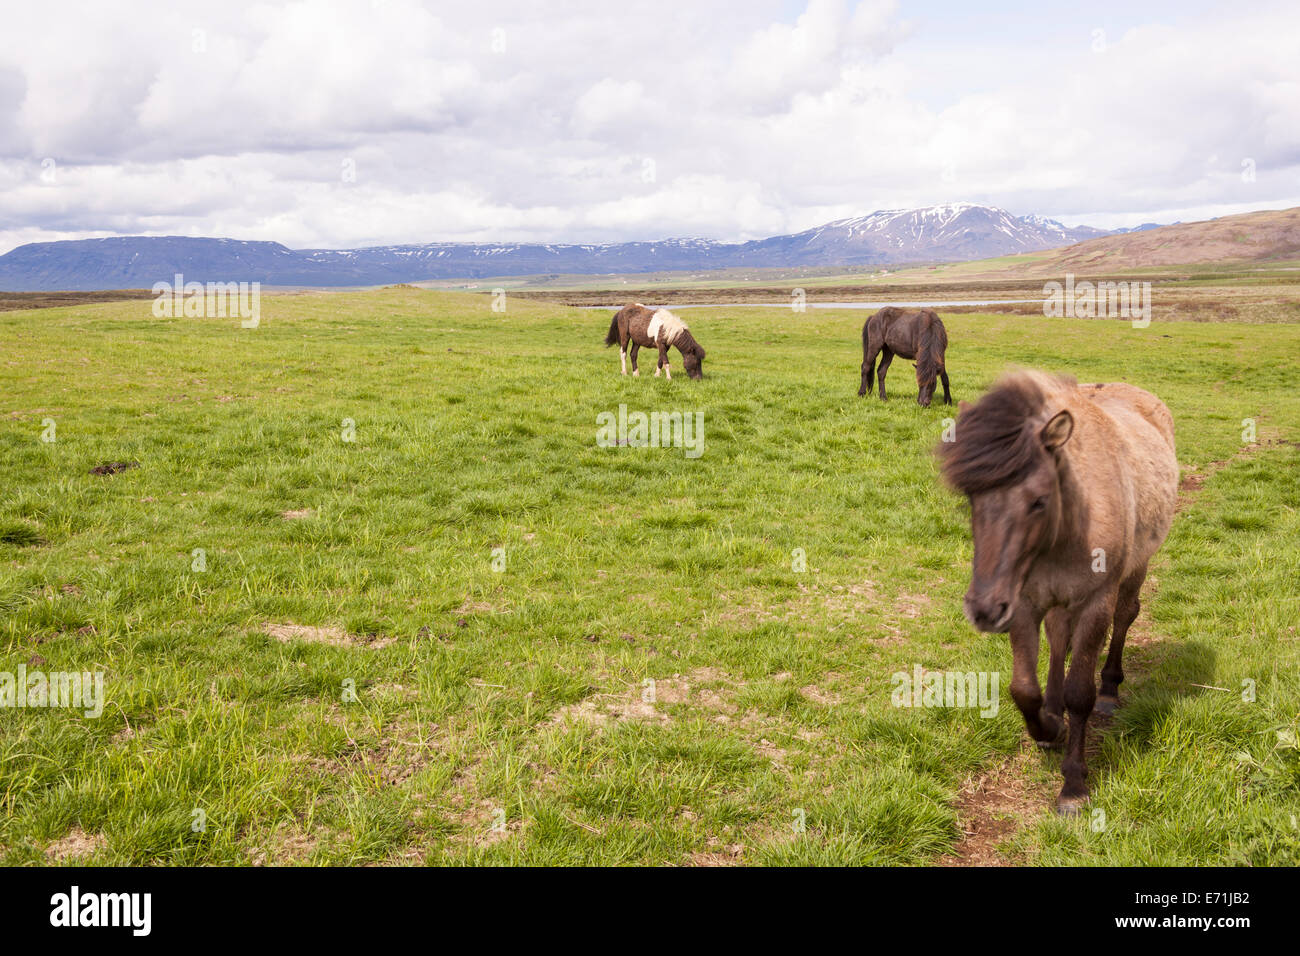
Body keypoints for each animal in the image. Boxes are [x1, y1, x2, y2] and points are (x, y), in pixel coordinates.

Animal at [939, 370, 1178, 815]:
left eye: (1038, 500)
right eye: (970, 497)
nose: (983, 610)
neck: (1068, 528)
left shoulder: (1094, 603)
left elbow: (1080, 692)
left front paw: (1073, 786)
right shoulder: (1022, 603)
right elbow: (1023, 689)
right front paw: (1049, 726)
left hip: (1135, 570)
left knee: (1125, 617)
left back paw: (1111, 690)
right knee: (1057, 638)